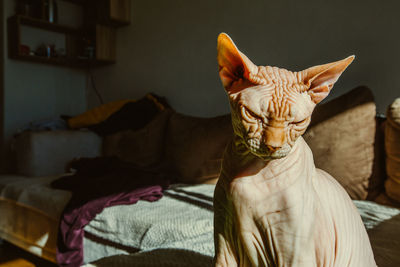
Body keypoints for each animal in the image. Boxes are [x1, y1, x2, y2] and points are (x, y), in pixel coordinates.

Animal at [212, 33, 376, 267]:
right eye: (253, 115)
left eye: (297, 122)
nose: (273, 145)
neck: (253, 170)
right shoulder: (224, 238)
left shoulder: (292, 249)